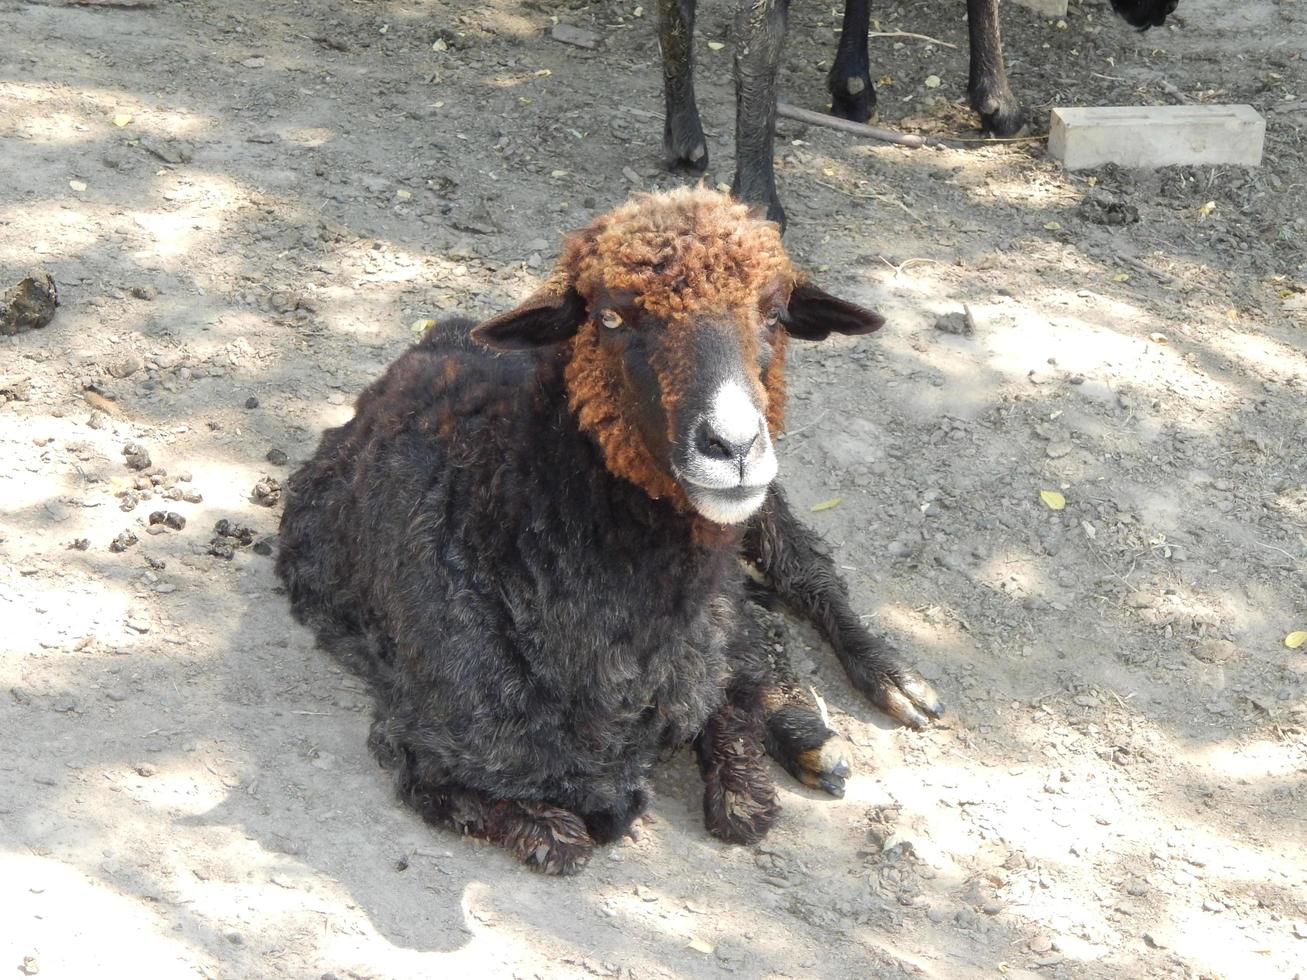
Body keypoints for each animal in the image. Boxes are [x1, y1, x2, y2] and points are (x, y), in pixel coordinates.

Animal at [275, 188, 946, 878]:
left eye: (776, 314)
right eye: (611, 317)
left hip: (762, 504)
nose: (733, 446)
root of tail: (448, 329)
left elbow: (739, 795)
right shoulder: (425, 751)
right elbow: (571, 834)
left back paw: (892, 684)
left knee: (803, 572)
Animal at [658, 0, 1181, 226]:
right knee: (755, 43)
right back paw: (759, 200)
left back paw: (685, 140)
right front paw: (997, 103)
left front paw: (853, 86)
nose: (1164, 10)